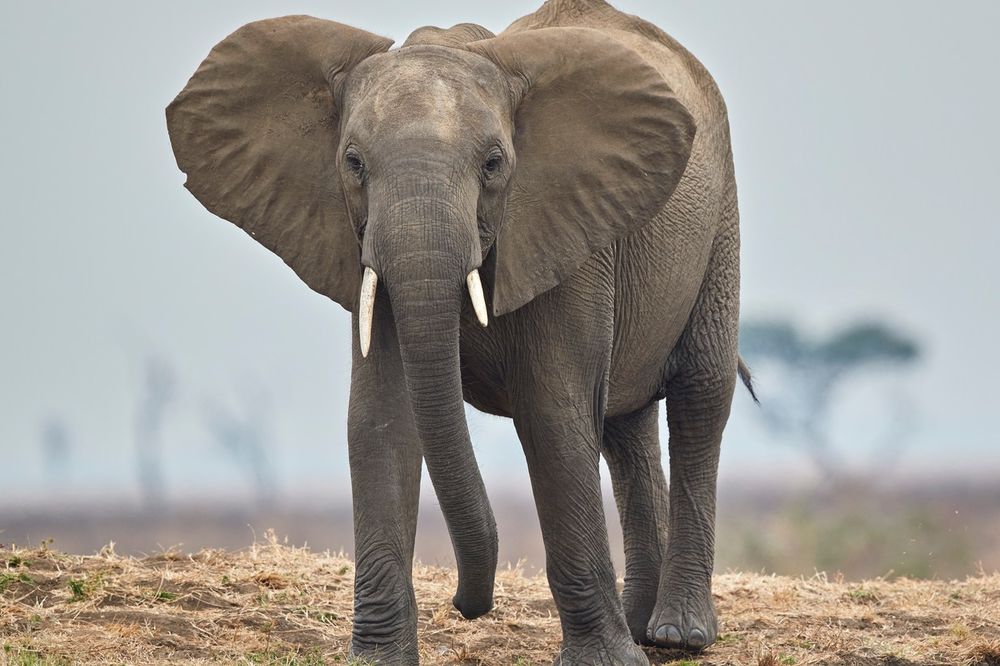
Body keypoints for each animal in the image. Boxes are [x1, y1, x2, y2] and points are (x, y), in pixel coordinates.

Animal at [168, 1, 752, 664]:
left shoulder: (566, 230)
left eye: (494, 164)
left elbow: (553, 415)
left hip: (721, 223)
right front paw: (379, 658)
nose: (467, 604)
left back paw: (679, 636)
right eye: (353, 163)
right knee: (623, 428)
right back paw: (642, 628)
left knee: (699, 400)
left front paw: (605, 660)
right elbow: (382, 417)